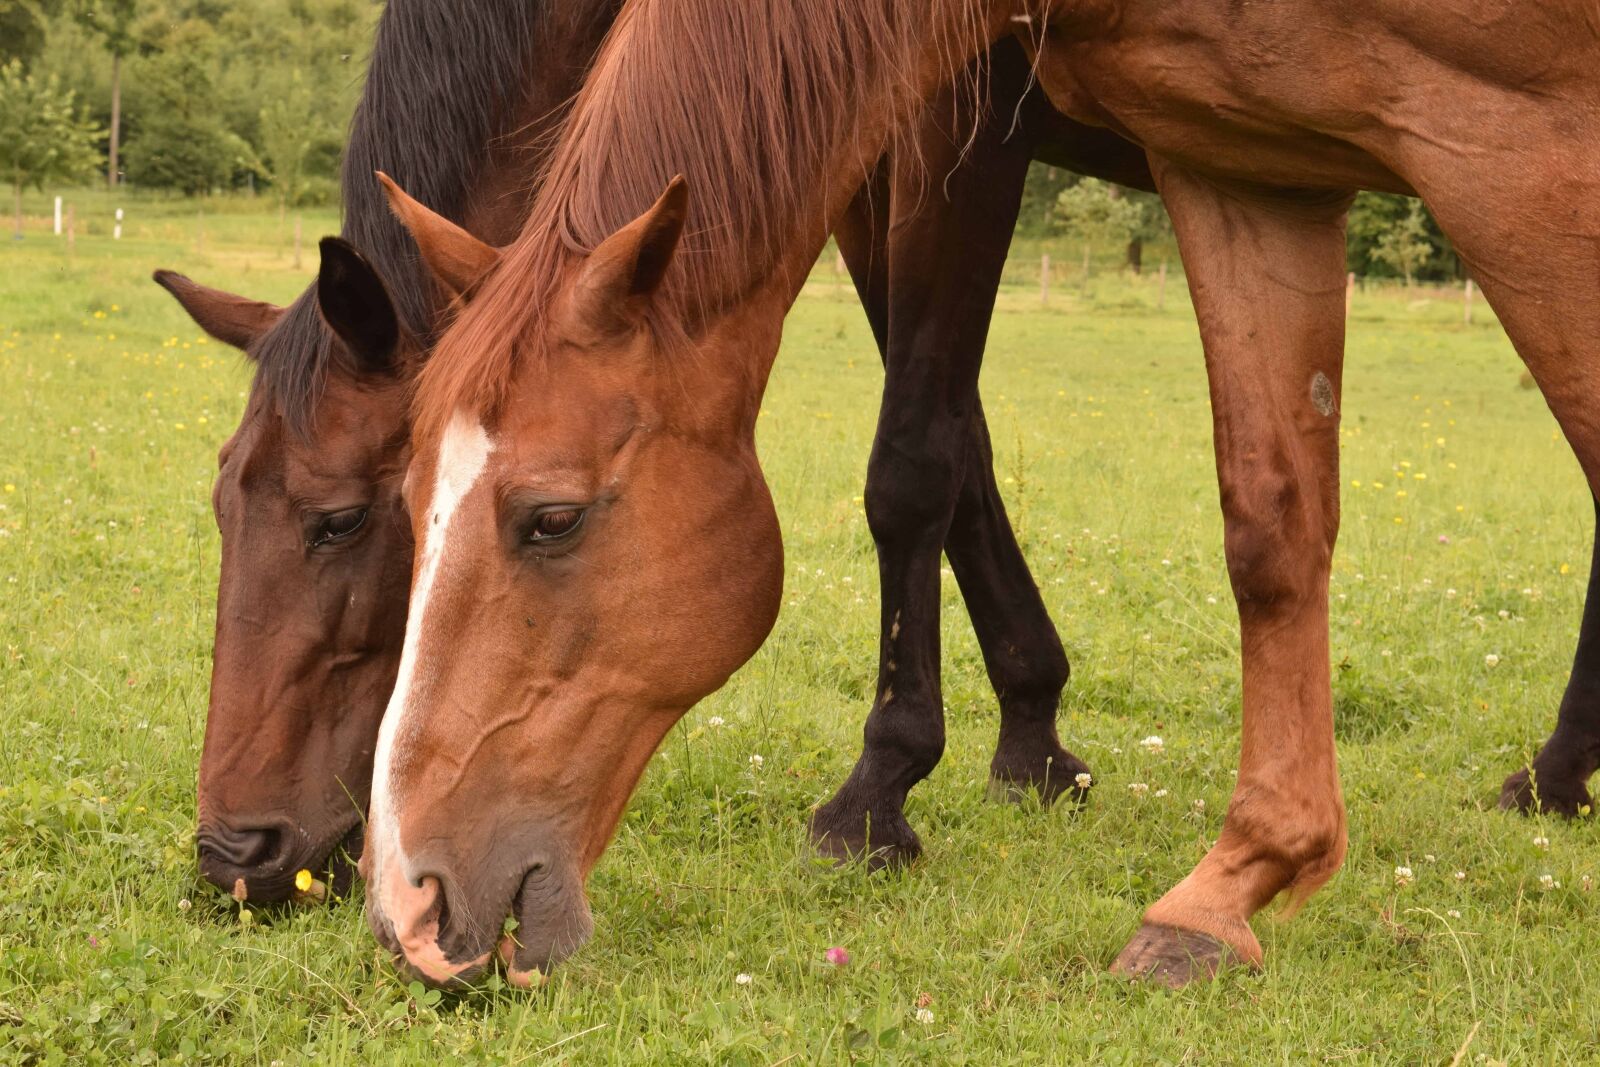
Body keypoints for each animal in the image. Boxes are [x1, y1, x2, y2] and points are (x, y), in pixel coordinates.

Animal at [150, 0, 1150, 903]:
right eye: (221, 507)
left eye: (344, 519)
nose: (233, 853)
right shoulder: (866, 158)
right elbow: (961, 445)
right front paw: (1033, 736)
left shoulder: (967, 127)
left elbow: (912, 463)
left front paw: (877, 795)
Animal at [366, 0, 1600, 988]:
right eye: (400, 508)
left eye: (551, 518)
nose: (407, 905)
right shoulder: (1244, 164)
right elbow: (1269, 522)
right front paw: (1227, 886)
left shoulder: (1518, 146)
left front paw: (884, 796)